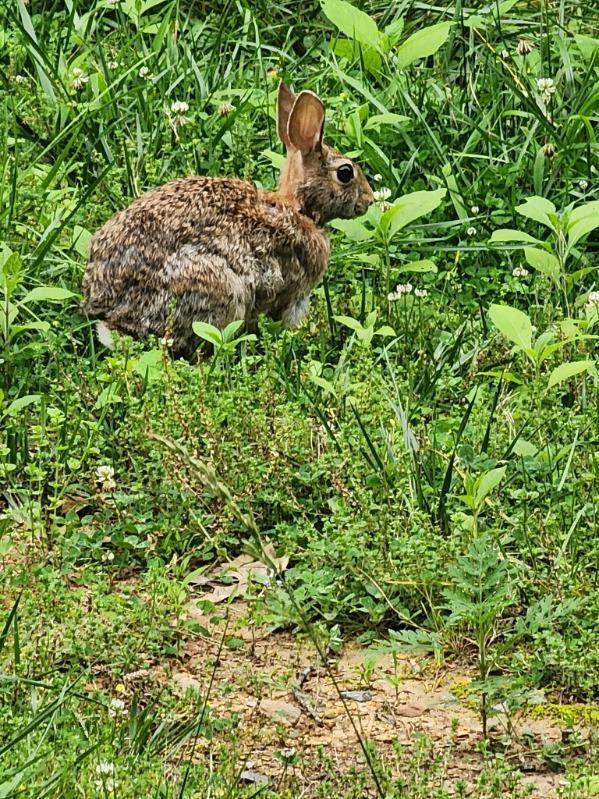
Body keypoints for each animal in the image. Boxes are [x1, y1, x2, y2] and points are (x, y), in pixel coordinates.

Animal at [82, 81, 374, 360]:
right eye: (345, 173)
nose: (369, 200)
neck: (299, 209)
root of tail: (118, 317)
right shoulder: (290, 296)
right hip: (219, 290)